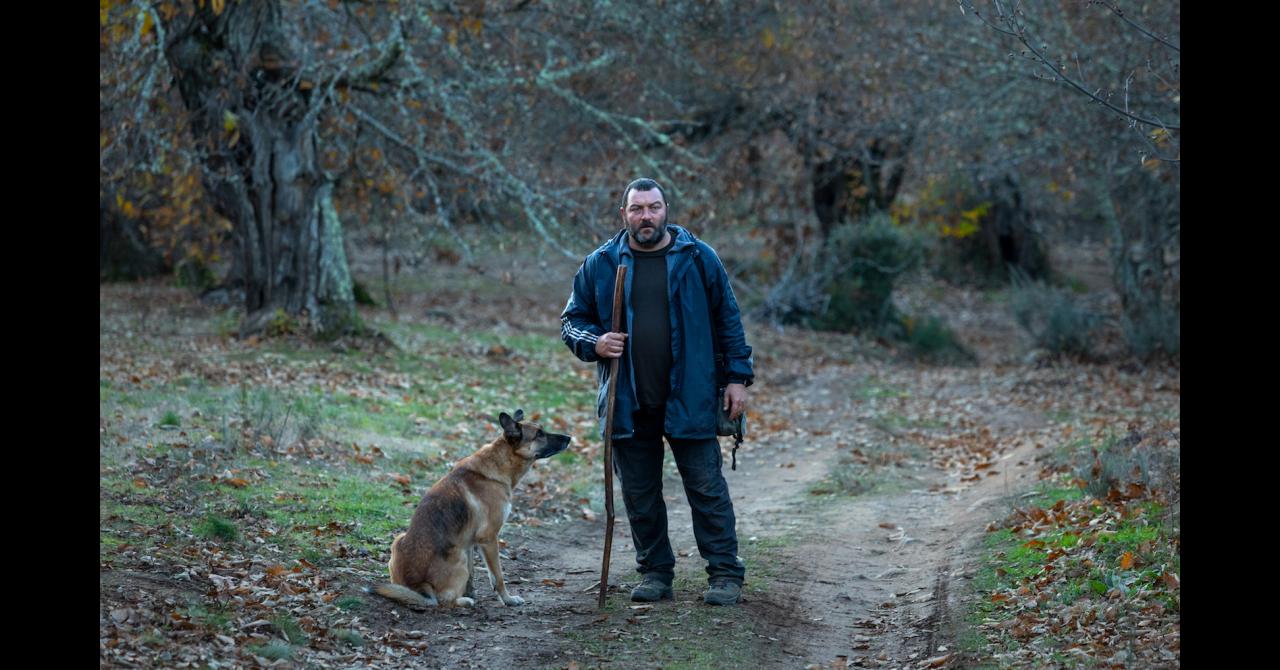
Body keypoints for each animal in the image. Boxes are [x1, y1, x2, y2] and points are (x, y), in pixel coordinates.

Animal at [368, 412, 573, 609]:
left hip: (401, 539)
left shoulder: (469, 542)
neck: (501, 463)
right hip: (457, 554)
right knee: (443, 601)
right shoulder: (488, 538)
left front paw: (472, 592)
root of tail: (418, 586)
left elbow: (473, 575)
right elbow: (497, 577)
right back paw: (464, 602)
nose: (569, 438)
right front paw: (507, 599)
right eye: (539, 434)